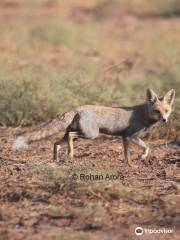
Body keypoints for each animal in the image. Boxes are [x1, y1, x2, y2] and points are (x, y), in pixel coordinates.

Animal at [11, 88, 175, 167]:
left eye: (166, 111)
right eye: (157, 111)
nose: (164, 120)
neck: (143, 115)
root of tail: (78, 107)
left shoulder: (134, 137)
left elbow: (147, 147)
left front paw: (142, 157)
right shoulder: (127, 137)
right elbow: (128, 155)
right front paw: (131, 166)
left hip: (78, 134)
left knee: (56, 143)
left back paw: (56, 160)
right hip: (91, 135)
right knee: (69, 137)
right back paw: (70, 155)